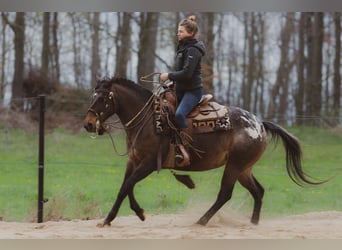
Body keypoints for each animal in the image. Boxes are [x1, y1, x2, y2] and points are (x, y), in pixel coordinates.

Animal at [83, 75, 324, 228]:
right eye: (92, 97)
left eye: (102, 98)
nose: (88, 124)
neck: (149, 120)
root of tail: (259, 124)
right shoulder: (134, 161)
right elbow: (125, 186)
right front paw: (120, 216)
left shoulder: (149, 163)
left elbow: (127, 186)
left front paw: (121, 217)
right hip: (244, 169)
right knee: (258, 191)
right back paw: (253, 223)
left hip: (234, 166)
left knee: (225, 194)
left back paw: (201, 221)